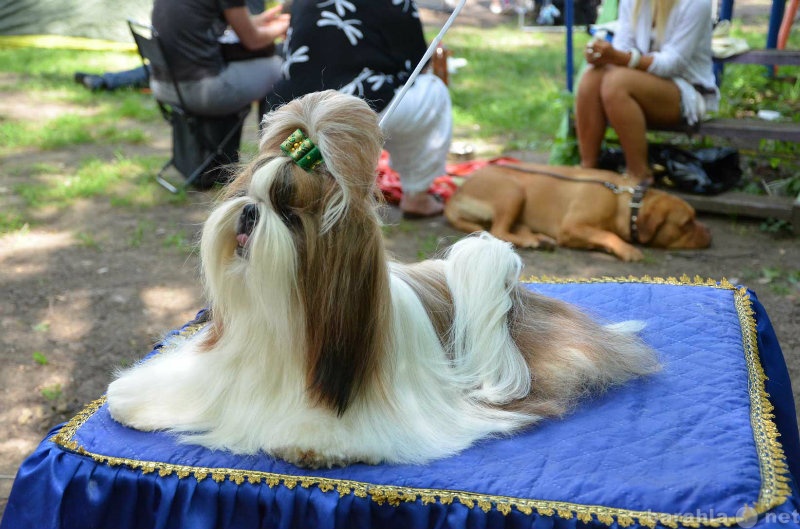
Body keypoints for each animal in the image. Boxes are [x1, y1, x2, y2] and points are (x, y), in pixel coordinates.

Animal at [104, 89, 656, 466]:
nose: (249, 214)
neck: (278, 320)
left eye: (289, 215)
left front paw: (308, 443)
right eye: (249, 195)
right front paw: (135, 399)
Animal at [444, 161, 712, 260]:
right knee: (499, 230)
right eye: (687, 223)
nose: (710, 234)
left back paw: (538, 239)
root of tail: (455, 195)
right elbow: (607, 234)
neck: (623, 202)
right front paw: (626, 249)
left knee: (509, 228)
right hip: (513, 191)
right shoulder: (571, 227)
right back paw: (531, 241)